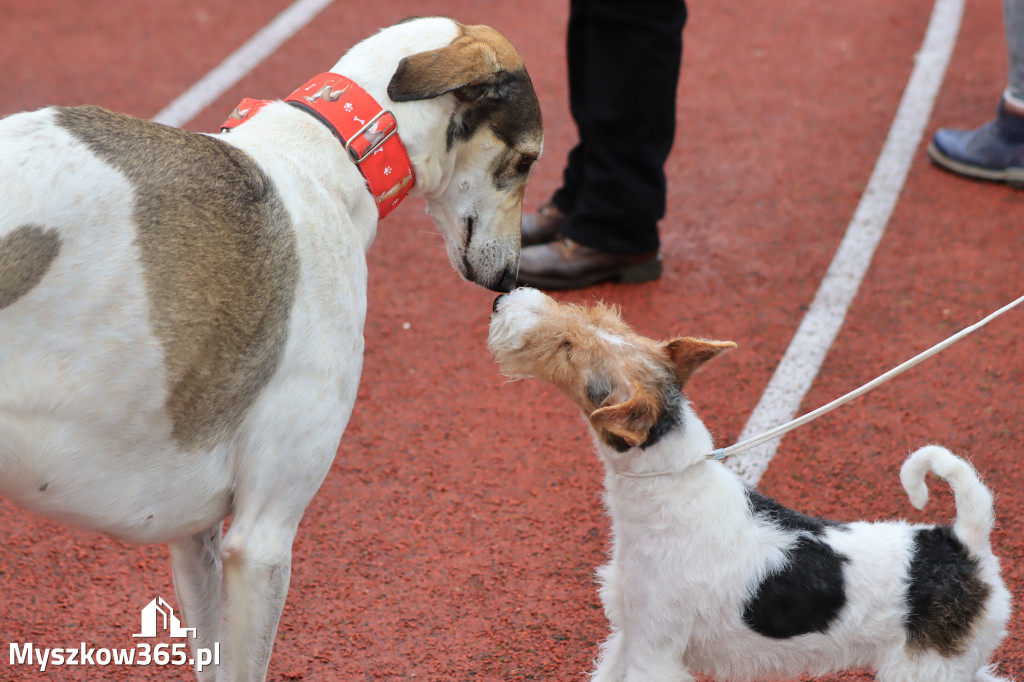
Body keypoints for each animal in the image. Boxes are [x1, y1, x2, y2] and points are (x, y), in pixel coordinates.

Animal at [489, 284, 1015, 679]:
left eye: (567, 350)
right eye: (601, 317)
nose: (500, 301)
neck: (670, 488)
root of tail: (964, 542)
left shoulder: (655, 650)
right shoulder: (630, 636)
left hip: (925, 669)